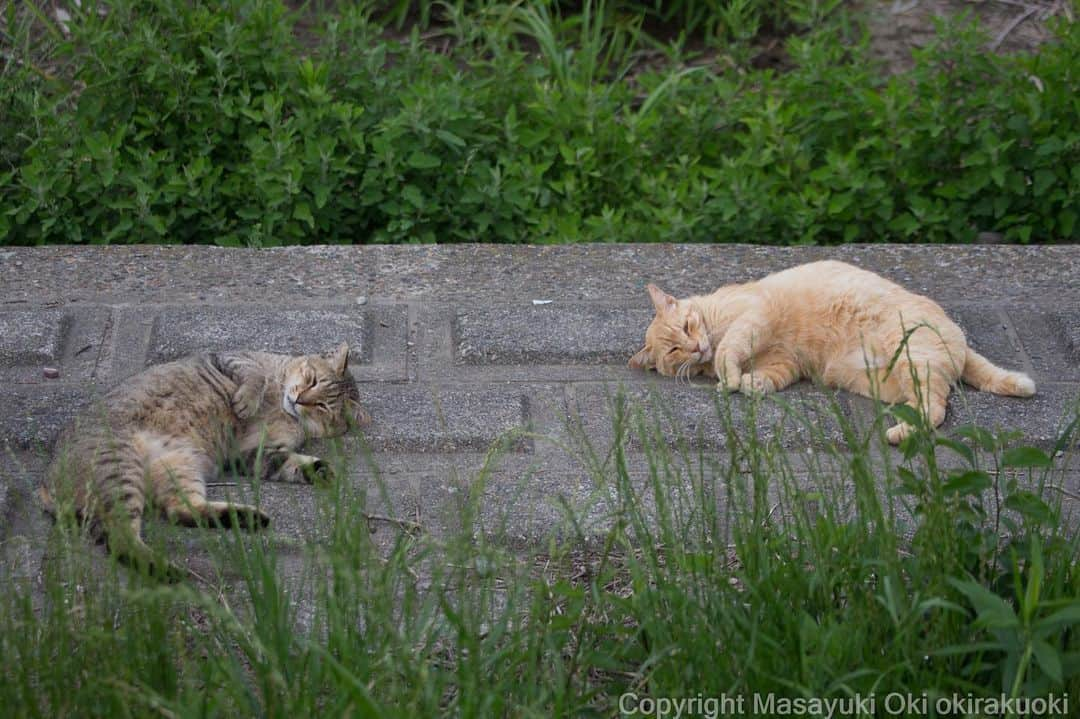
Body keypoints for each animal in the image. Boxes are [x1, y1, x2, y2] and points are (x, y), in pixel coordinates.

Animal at [39, 341, 369, 578]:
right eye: (311, 380)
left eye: (323, 407)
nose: (299, 399)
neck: (280, 404)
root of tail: (46, 485)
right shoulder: (233, 357)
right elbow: (255, 375)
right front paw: (246, 401)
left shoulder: (253, 453)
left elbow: (289, 463)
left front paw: (318, 469)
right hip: (120, 467)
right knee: (121, 538)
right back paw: (166, 568)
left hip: (176, 467)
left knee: (177, 512)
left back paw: (242, 519)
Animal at [630, 260, 1032, 442]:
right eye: (675, 351)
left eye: (686, 328)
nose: (696, 348)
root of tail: (959, 339)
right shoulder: (785, 362)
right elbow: (766, 377)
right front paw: (749, 383)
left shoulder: (753, 318)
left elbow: (732, 346)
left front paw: (730, 378)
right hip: (884, 379)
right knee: (928, 404)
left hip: (913, 360)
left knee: (935, 410)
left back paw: (896, 434)